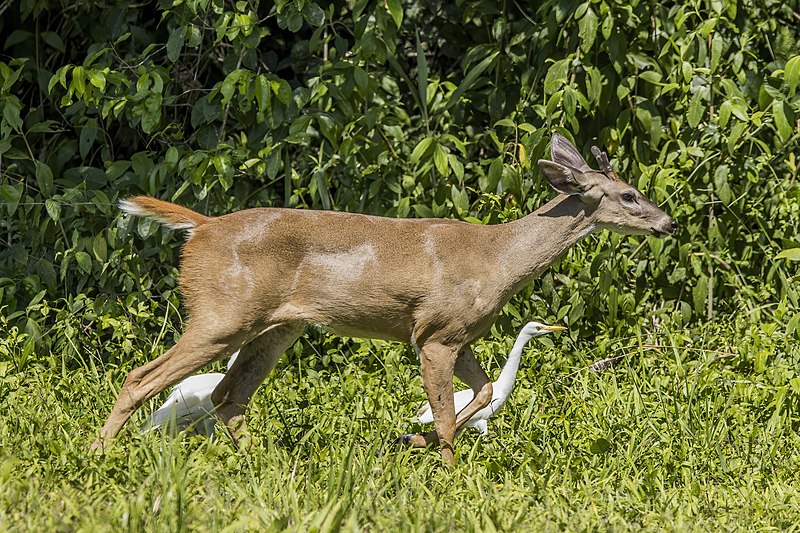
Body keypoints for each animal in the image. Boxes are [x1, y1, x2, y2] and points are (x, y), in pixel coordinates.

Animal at [92, 134, 676, 466]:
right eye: (628, 195)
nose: (668, 222)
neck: (497, 259)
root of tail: (202, 228)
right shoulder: (433, 332)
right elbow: (447, 414)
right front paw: (448, 471)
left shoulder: (460, 334)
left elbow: (484, 391)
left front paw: (408, 441)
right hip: (221, 311)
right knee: (142, 377)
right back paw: (96, 456)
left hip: (277, 326)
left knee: (227, 395)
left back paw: (267, 466)